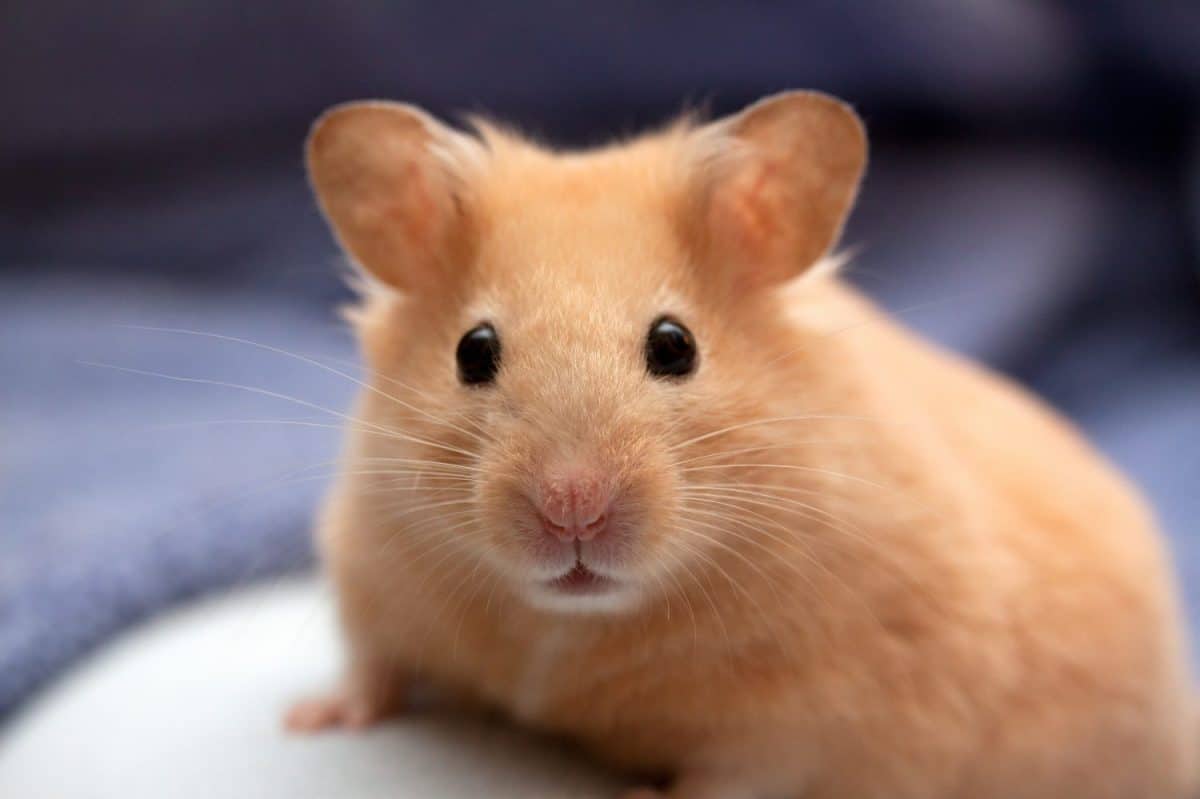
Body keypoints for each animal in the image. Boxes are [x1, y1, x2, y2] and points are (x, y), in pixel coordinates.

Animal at [285, 93, 1195, 796]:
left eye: (675, 345)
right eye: (473, 351)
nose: (572, 509)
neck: (567, 624)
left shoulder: (809, 717)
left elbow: (729, 777)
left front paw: (639, 794)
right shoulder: (367, 564)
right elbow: (371, 664)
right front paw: (308, 719)